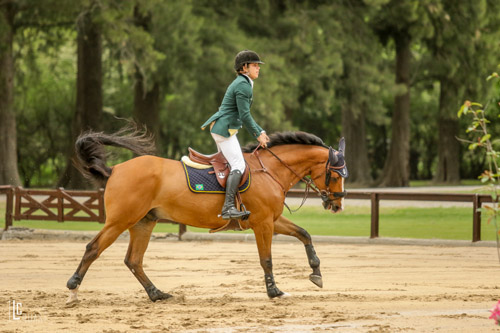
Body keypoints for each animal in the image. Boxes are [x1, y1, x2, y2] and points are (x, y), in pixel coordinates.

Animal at [65, 127, 348, 304]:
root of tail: (115, 170)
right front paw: (274, 291)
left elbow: (304, 234)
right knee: (93, 248)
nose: (337, 205)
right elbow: (266, 259)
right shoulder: (263, 223)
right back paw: (73, 289)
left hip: (143, 223)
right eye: (335, 175)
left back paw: (157, 294)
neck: (270, 170)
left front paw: (316, 273)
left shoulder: (273, 220)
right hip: (120, 221)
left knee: (133, 260)